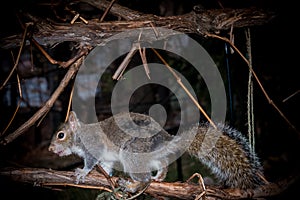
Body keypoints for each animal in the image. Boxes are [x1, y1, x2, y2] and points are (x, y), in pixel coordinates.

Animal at [48, 111, 266, 192]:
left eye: (61, 135)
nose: (50, 148)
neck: (80, 135)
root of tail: (165, 140)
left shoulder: (94, 146)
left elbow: (91, 161)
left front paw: (83, 172)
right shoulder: (106, 159)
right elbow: (106, 167)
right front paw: (105, 177)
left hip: (131, 154)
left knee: (144, 178)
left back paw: (132, 184)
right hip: (148, 157)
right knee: (161, 165)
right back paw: (159, 177)